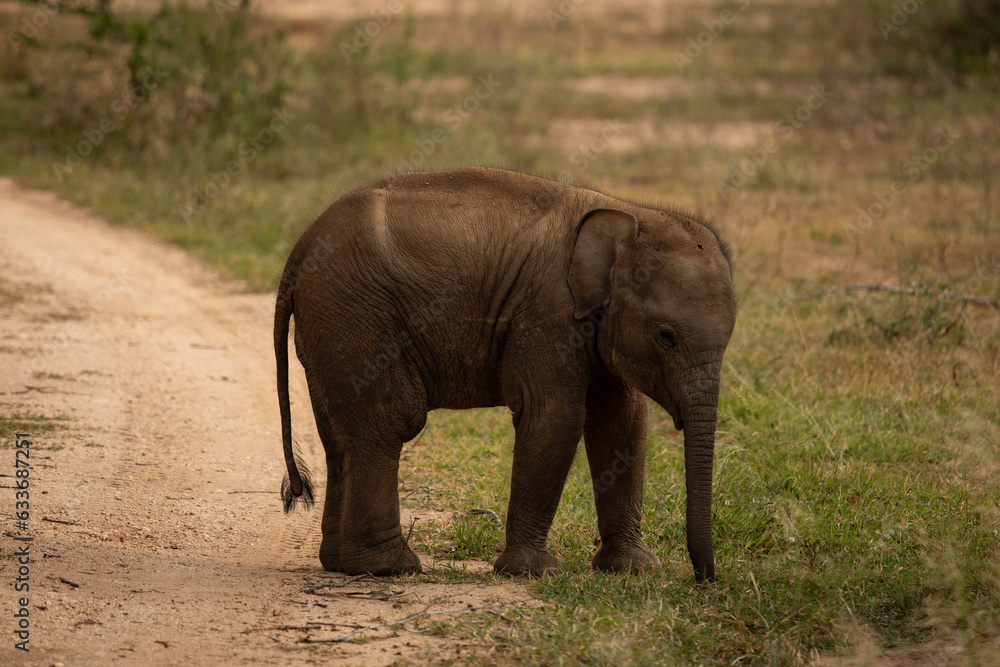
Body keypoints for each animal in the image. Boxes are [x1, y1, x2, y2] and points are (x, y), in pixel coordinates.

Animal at [274, 166, 736, 582]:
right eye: (666, 335)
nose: (704, 578)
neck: (631, 214)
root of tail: (298, 250)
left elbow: (622, 423)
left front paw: (632, 570)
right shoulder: (546, 314)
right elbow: (554, 417)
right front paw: (534, 573)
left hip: (329, 329)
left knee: (339, 439)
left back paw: (341, 564)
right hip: (358, 318)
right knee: (388, 425)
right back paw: (391, 568)